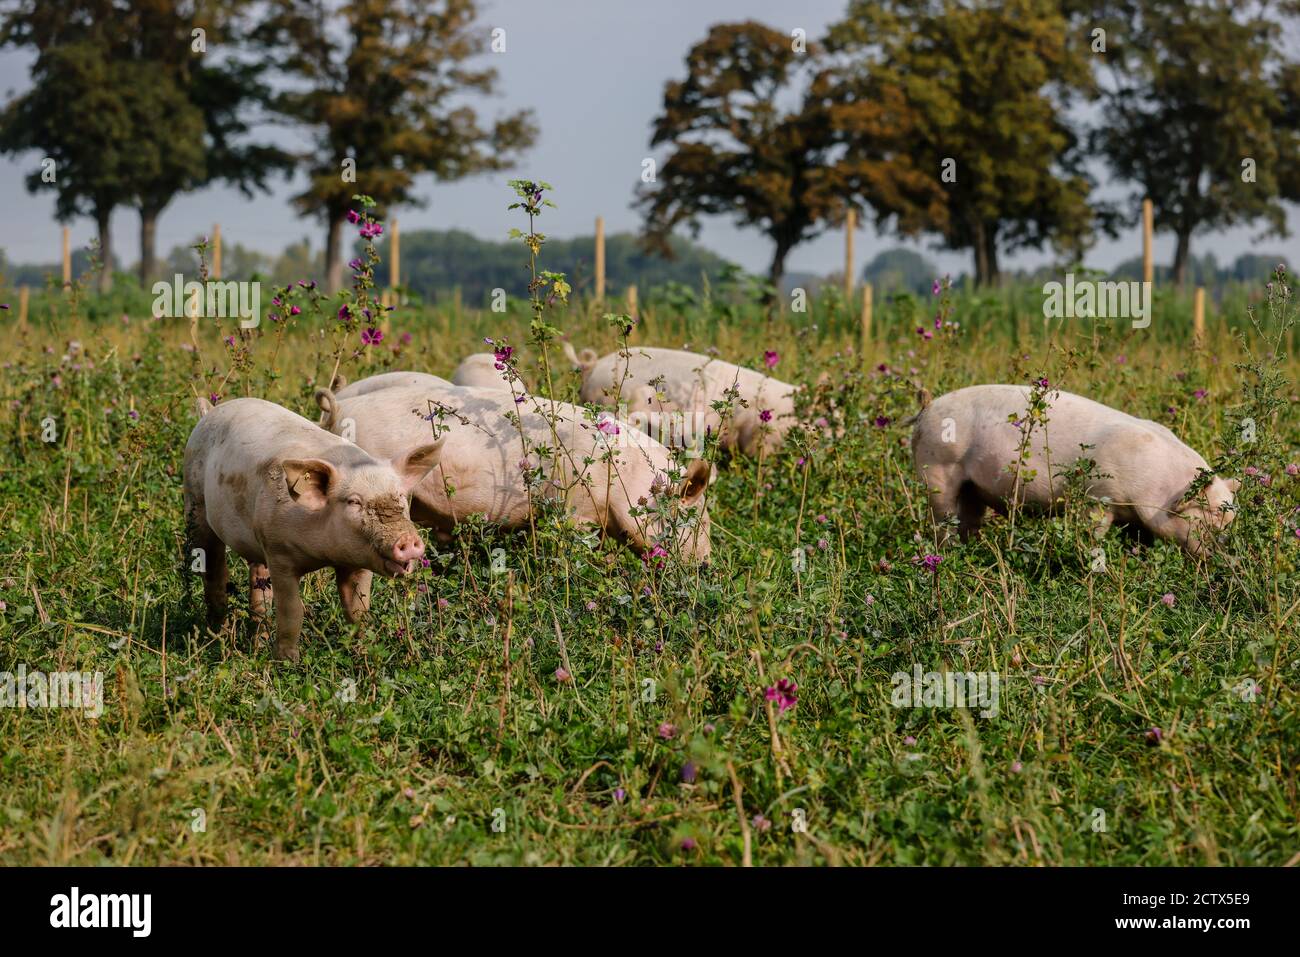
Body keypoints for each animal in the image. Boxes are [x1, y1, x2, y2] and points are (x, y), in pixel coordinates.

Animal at [183, 395, 447, 657]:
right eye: (354, 502)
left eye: (400, 496)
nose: (407, 540)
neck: (324, 554)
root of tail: (211, 410)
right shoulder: (279, 552)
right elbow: (292, 614)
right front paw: (287, 662)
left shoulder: (357, 561)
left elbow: (358, 611)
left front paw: (363, 653)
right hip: (195, 503)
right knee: (213, 570)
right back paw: (218, 638)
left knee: (258, 584)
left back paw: (258, 644)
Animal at [909, 384, 1242, 556]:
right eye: (1211, 515)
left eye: (1231, 518)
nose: (1229, 553)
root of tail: (926, 408)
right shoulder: (1098, 496)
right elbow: (1093, 531)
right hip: (937, 469)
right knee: (942, 521)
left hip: (972, 488)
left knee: (969, 519)